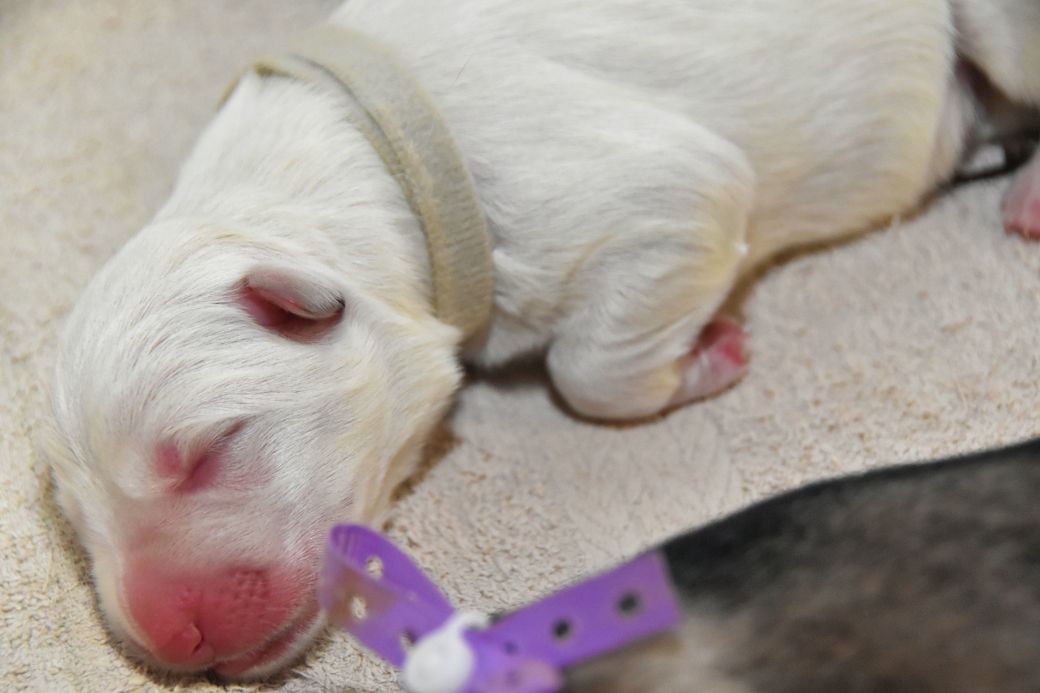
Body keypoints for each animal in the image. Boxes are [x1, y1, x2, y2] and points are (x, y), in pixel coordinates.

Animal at [41, 0, 1040, 679]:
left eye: (210, 447)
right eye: (77, 528)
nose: (174, 642)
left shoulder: (651, 195)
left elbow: (590, 369)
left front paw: (712, 353)